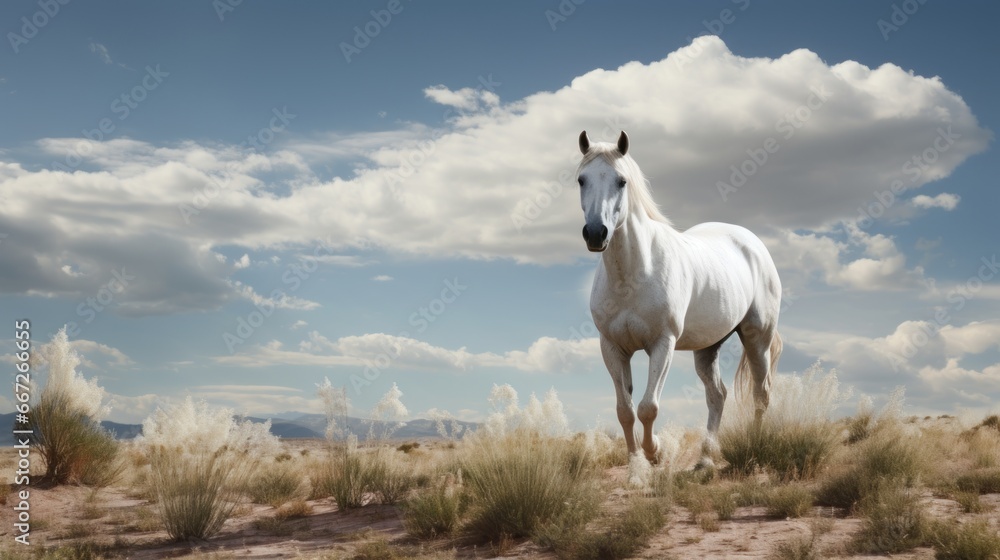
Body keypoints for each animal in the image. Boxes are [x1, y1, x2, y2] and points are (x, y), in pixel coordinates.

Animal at [577, 130, 783, 468]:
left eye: (622, 181)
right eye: (582, 179)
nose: (596, 233)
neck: (633, 274)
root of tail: (752, 243)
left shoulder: (663, 343)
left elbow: (648, 407)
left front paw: (655, 452)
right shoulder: (613, 347)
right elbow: (625, 411)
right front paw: (636, 465)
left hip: (757, 338)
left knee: (761, 393)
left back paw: (754, 445)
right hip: (708, 348)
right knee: (717, 396)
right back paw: (705, 458)